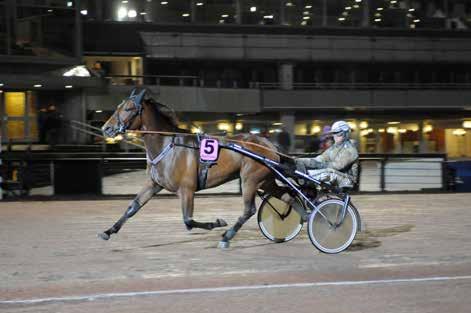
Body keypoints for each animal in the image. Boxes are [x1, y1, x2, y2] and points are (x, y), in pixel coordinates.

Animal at [99, 88, 284, 249]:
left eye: (128, 108)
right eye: (118, 107)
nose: (106, 128)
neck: (168, 145)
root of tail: (269, 146)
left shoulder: (186, 188)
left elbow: (188, 220)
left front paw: (217, 223)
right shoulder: (154, 184)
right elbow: (133, 207)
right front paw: (108, 231)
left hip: (250, 180)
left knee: (249, 209)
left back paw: (226, 237)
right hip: (264, 180)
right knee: (286, 197)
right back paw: (286, 219)